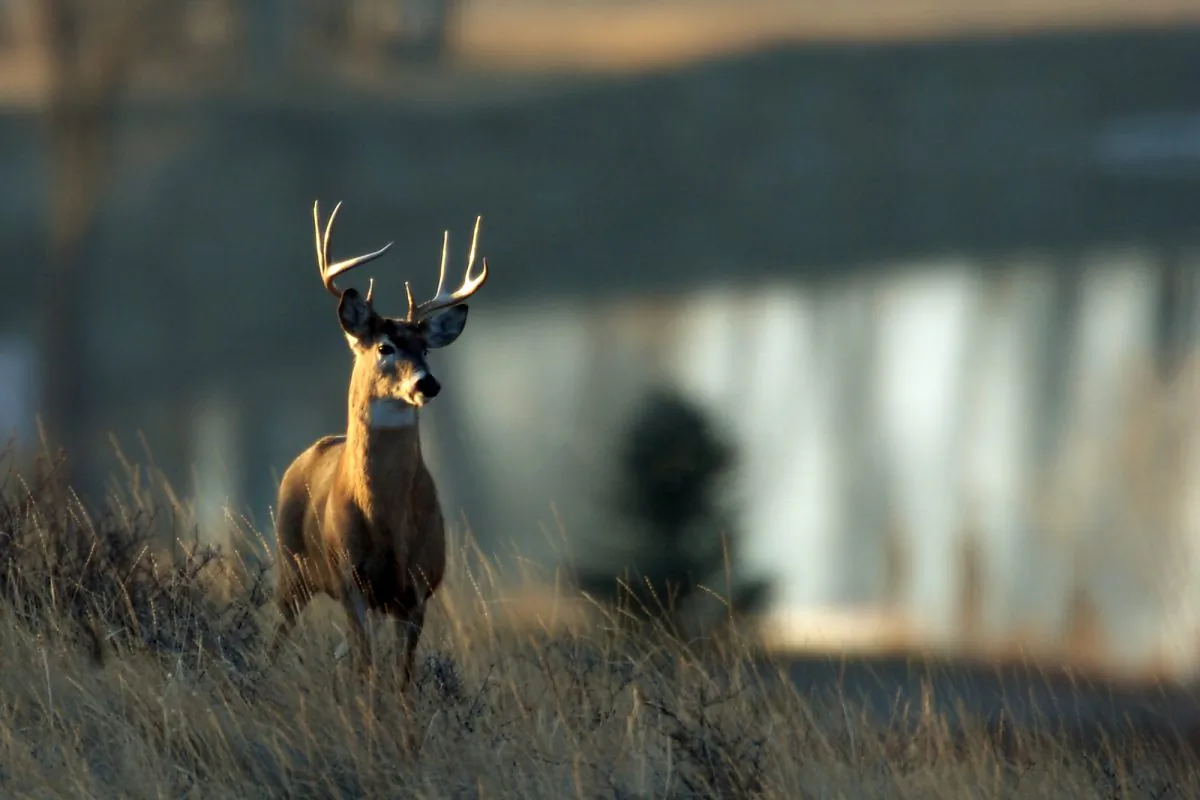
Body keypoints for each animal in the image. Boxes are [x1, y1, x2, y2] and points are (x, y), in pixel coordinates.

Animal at [267, 200, 489, 690]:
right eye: (385, 346)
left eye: (427, 349)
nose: (428, 383)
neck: (385, 522)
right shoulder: (351, 581)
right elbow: (366, 670)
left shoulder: (418, 589)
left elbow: (402, 676)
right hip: (290, 567)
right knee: (275, 638)